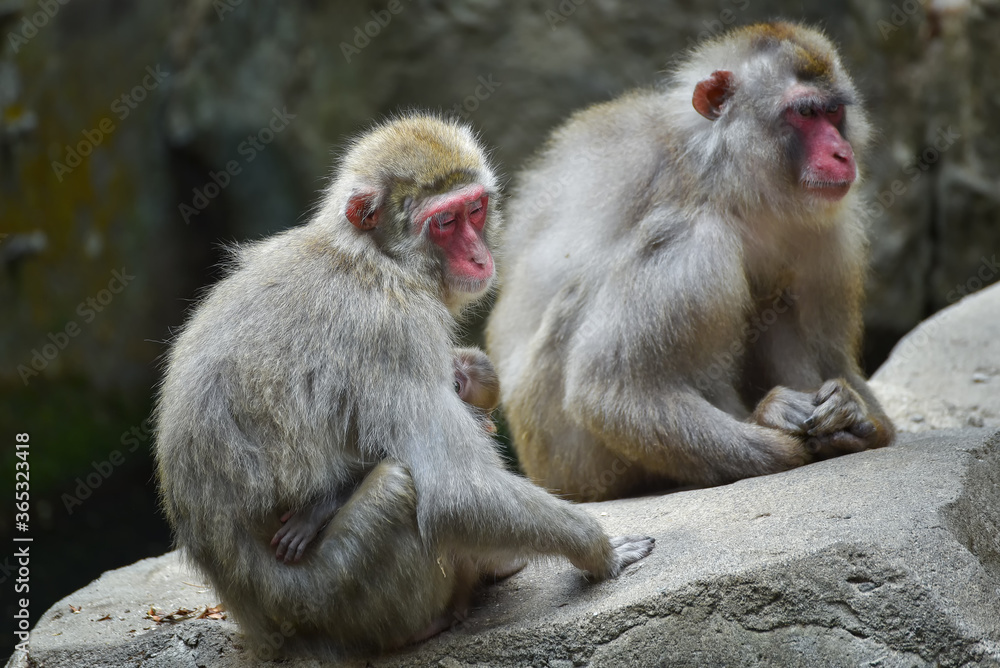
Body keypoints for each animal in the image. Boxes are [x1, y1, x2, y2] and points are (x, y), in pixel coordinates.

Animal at [154, 115, 656, 656]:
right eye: (445, 221)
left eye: (475, 210)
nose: (479, 257)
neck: (375, 258)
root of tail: (258, 622)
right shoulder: (395, 331)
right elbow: (457, 492)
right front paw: (600, 551)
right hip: (334, 598)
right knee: (399, 487)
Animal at [488, 22, 896, 500]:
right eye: (805, 113)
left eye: (833, 114)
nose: (841, 154)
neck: (726, 182)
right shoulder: (685, 245)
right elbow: (609, 391)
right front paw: (774, 426)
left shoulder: (829, 236)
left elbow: (833, 360)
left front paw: (853, 413)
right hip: (568, 465)